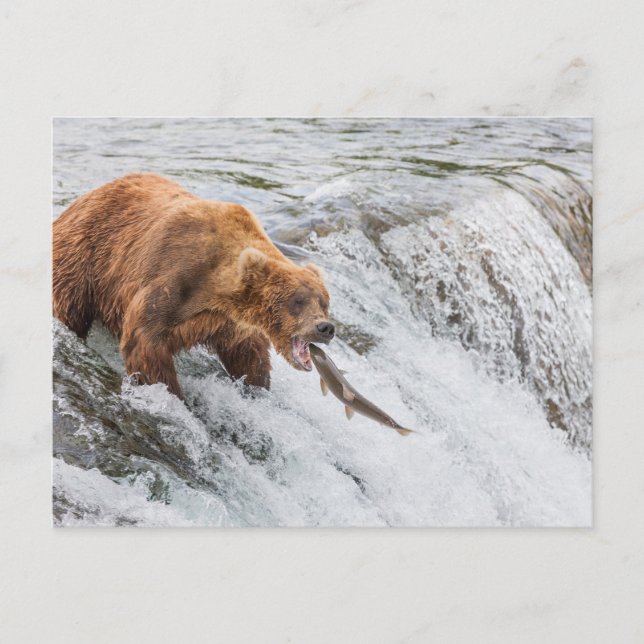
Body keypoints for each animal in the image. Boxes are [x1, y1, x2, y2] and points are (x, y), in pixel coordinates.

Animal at [53, 173, 334, 398]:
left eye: (324, 302)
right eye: (297, 301)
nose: (325, 328)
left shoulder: (228, 322)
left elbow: (248, 353)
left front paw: (257, 386)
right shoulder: (173, 279)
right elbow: (144, 342)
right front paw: (172, 394)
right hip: (84, 258)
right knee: (69, 306)